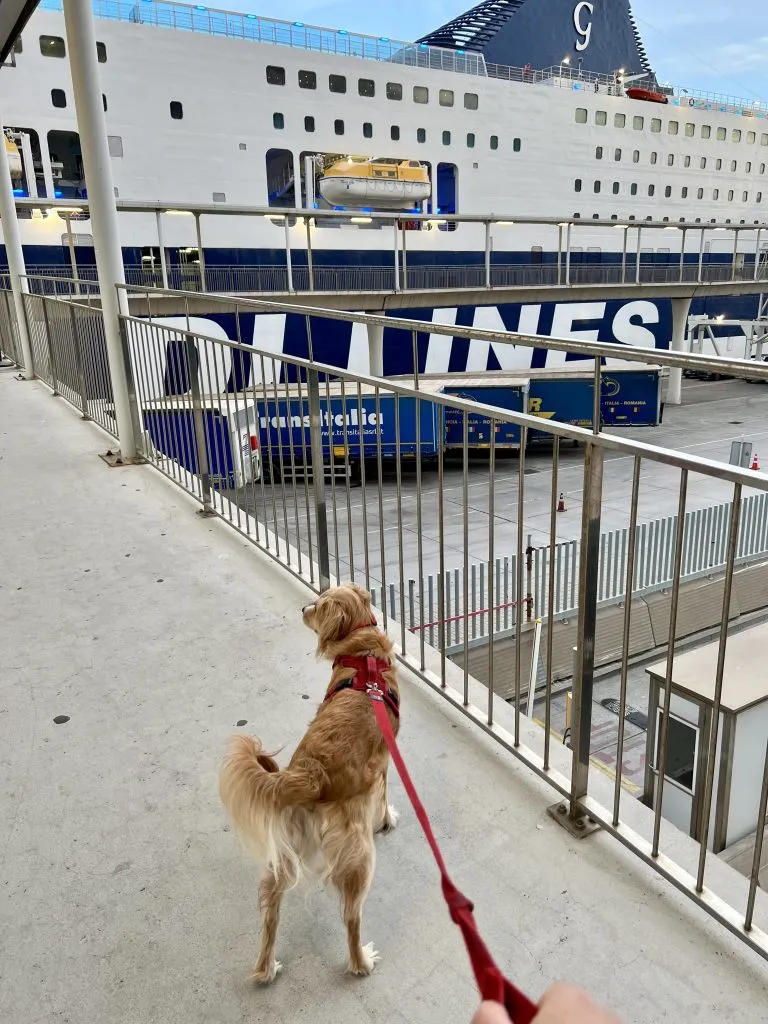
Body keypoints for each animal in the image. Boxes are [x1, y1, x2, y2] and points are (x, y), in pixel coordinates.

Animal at [219, 581, 399, 978]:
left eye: (318, 603)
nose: (304, 608)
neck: (362, 650)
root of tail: (309, 775)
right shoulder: (384, 762)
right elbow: (382, 795)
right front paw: (388, 819)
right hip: (358, 855)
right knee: (351, 916)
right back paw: (361, 961)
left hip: (284, 852)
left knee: (270, 909)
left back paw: (266, 968)